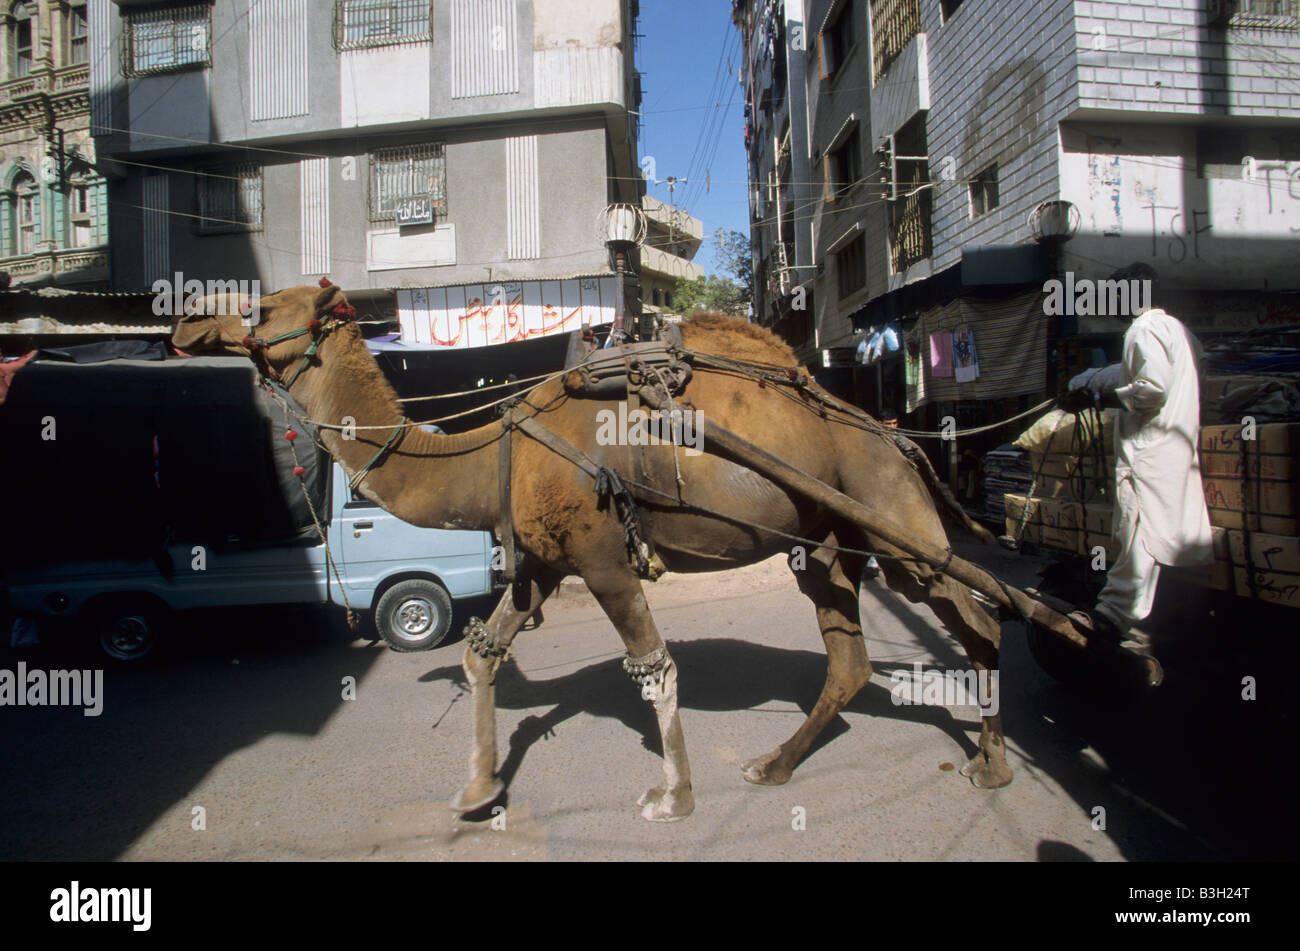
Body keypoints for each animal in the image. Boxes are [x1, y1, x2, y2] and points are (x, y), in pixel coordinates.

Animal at [175, 280, 1003, 815]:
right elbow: (483, 655)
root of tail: (891, 431)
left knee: (976, 610)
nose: (182, 322)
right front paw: (478, 790)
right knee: (853, 656)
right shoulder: (544, 564)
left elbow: (655, 667)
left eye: (259, 307)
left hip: (888, 509)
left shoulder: (603, 558)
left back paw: (991, 763)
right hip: (831, 540)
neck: (492, 455)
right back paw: (773, 765)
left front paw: (673, 797)